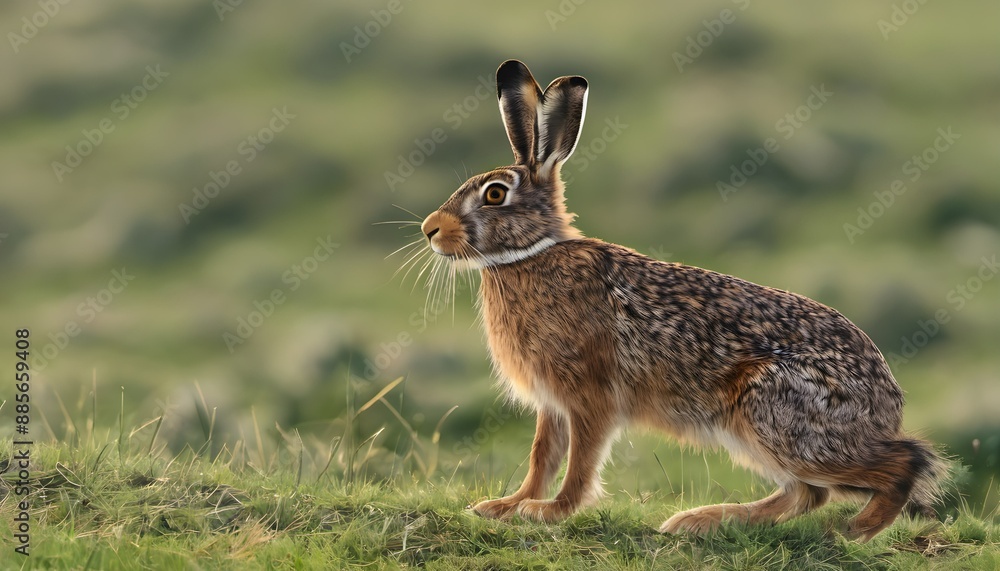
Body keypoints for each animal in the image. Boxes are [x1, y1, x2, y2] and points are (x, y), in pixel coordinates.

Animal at [418, 59, 945, 541]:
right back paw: (704, 521)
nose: (430, 230)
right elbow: (542, 457)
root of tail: (887, 406)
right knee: (807, 493)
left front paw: (549, 512)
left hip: (774, 415)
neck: (529, 254)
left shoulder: (590, 396)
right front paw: (506, 506)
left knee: (902, 462)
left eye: (494, 195)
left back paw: (852, 530)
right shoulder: (553, 403)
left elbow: (580, 463)